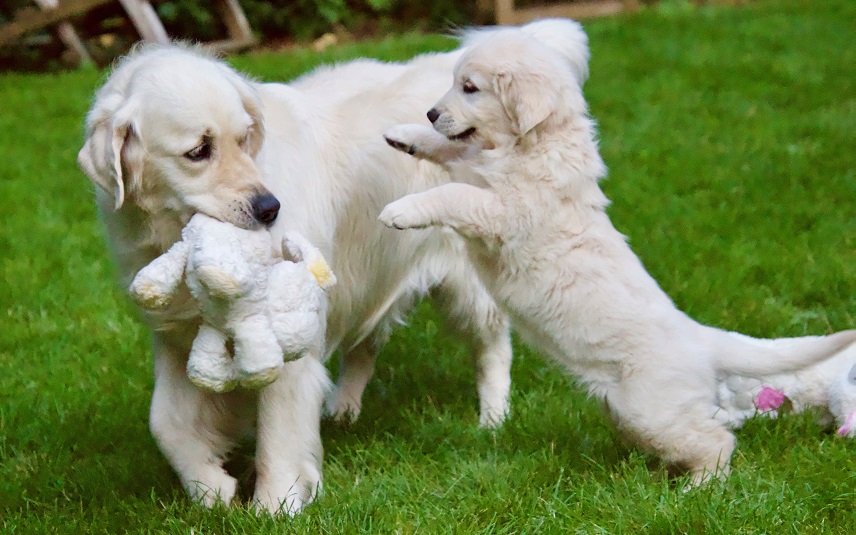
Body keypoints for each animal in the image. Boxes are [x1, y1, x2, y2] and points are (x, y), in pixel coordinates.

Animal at [382, 30, 856, 490]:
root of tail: (700, 336)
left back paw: (698, 488)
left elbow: (452, 192)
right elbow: (453, 153)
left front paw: (399, 211)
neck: (529, 143)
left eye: (470, 88)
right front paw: (403, 135)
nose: (430, 113)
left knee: (718, 440)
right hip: (632, 413)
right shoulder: (476, 168)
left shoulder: (504, 211)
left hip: (651, 408)